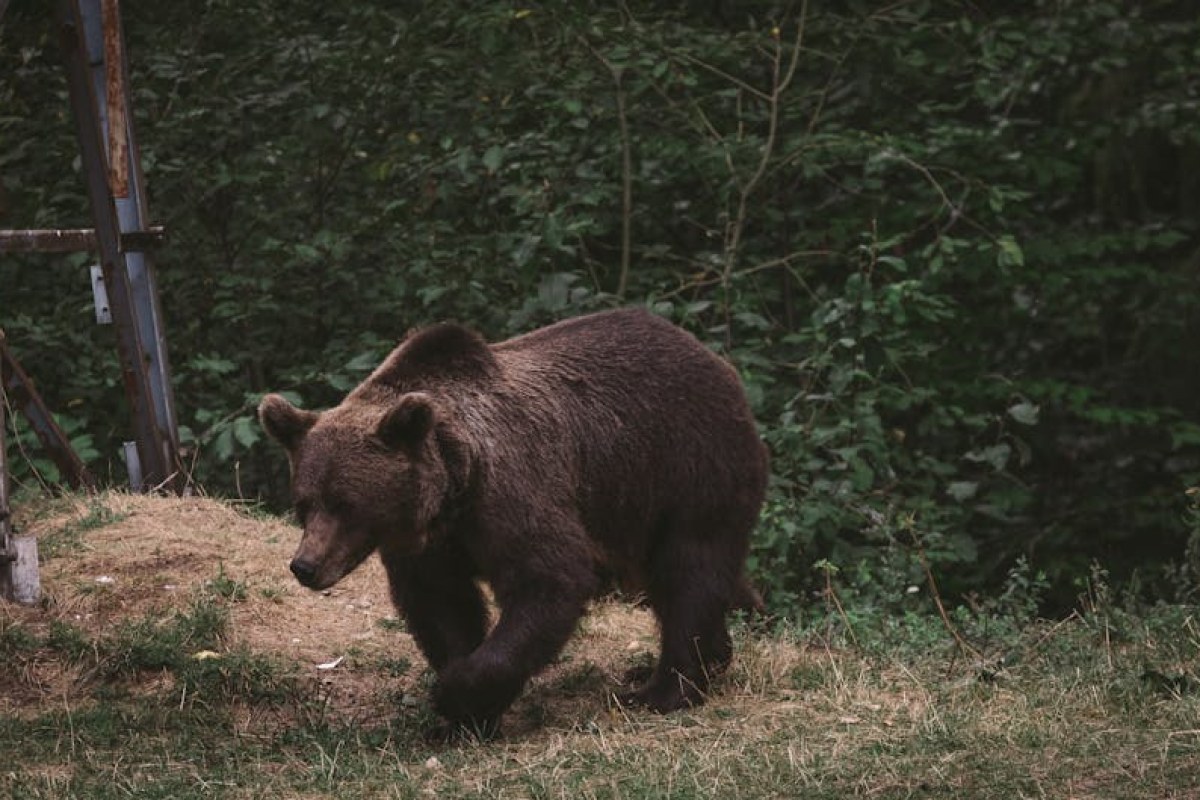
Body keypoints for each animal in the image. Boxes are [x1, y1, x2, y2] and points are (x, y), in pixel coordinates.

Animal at [258, 307, 768, 735]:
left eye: (346, 504)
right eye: (305, 503)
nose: (305, 566)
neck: (454, 485)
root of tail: (715, 360)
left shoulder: (512, 492)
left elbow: (549, 578)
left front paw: (457, 694)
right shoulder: (433, 545)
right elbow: (442, 605)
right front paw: (467, 708)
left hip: (686, 467)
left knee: (688, 568)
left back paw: (664, 689)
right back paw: (694, 659)